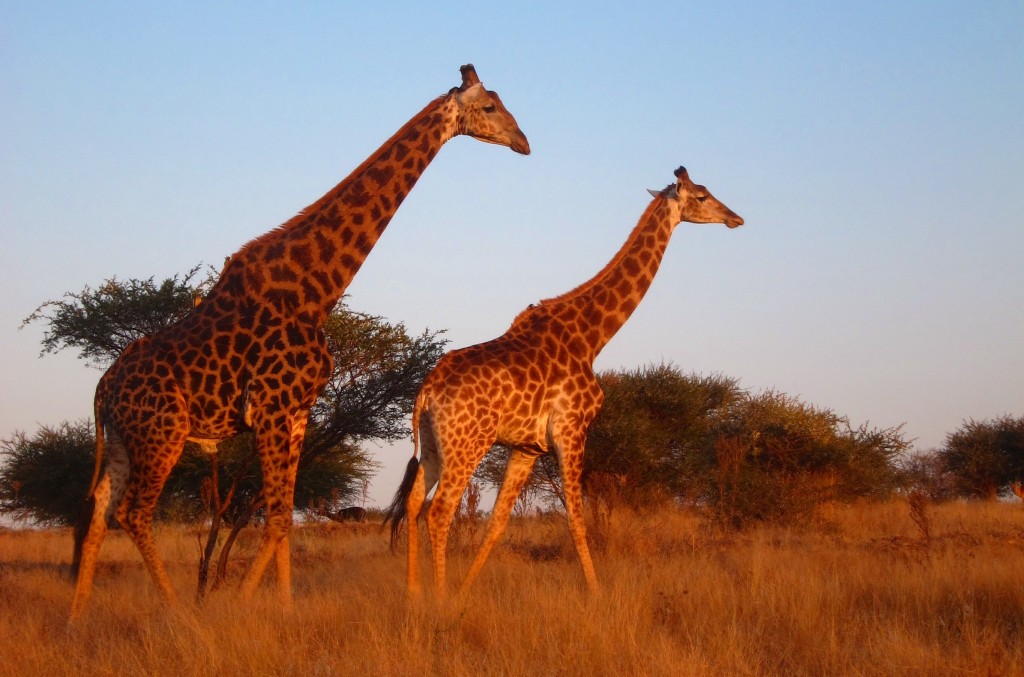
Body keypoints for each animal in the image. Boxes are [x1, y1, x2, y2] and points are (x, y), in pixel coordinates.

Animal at [69, 64, 532, 618]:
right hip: (164, 432)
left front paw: (284, 608)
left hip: (124, 437)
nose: (525, 142)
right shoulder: (270, 407)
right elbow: (272, 519)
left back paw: (75, 618)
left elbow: (285, 518)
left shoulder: (296, 411)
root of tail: (103, 388)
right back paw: (183, 617)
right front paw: (245, 604)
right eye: (489, 107)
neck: (315, 292)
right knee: (135, 513)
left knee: (99, 510)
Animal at [385, 164, 745, 598]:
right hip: (467, 444)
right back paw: (438, 602)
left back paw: (414, 596)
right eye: (702, 196)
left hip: (433, 445)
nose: (736, 218)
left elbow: (498, 523)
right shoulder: (573, 429)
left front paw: (465, 592)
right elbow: (576, 519)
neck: (592, 338)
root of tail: (426, 390)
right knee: (438, 512)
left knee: (413, 503)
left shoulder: (527, 446)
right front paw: (597, 595)